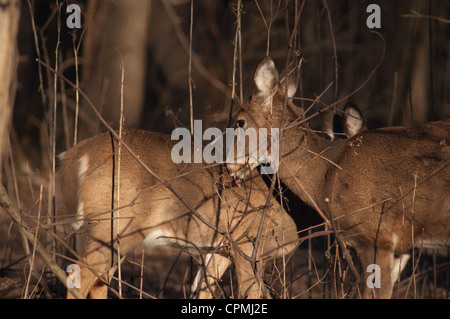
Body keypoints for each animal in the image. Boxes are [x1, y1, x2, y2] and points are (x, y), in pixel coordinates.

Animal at [57, 129, 298, 298]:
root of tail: (76, 154)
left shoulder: (220, 250)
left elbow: (202, 291)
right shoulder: (249, 244)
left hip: (94, 231)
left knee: (96, 280)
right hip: (116, 225)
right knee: (78, 275)